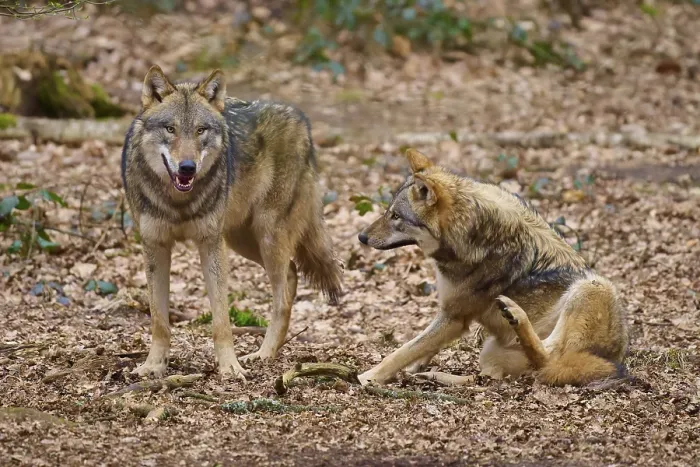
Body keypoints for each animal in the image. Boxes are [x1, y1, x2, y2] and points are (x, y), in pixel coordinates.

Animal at [121, 65, 342, 380]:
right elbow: (159, 320)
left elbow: (221, 320)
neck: (179, 202)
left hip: (267, 234)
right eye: (170, 129)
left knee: (283, 294)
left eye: (200, 130)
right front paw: (153, 366)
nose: (187, 168)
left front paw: (229, 366)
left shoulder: (210, 245)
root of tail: (301, 120)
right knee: (291, 273)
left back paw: (264, 354)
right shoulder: (155, 246)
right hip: (242, 240)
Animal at [357, 148, 628, 386]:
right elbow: (421, 346)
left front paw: (367, 377)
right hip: (490, 351)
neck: (473, 233)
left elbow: (403, 350)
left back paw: (516, 315)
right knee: (487, 377)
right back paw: (433, 376)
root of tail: (615, 355)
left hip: (593, 287)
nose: (361, 236)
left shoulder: (455, 317)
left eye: (396, 216)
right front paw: (415, 367)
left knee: (549, 358)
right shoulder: (449, 313)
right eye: (388, 212)